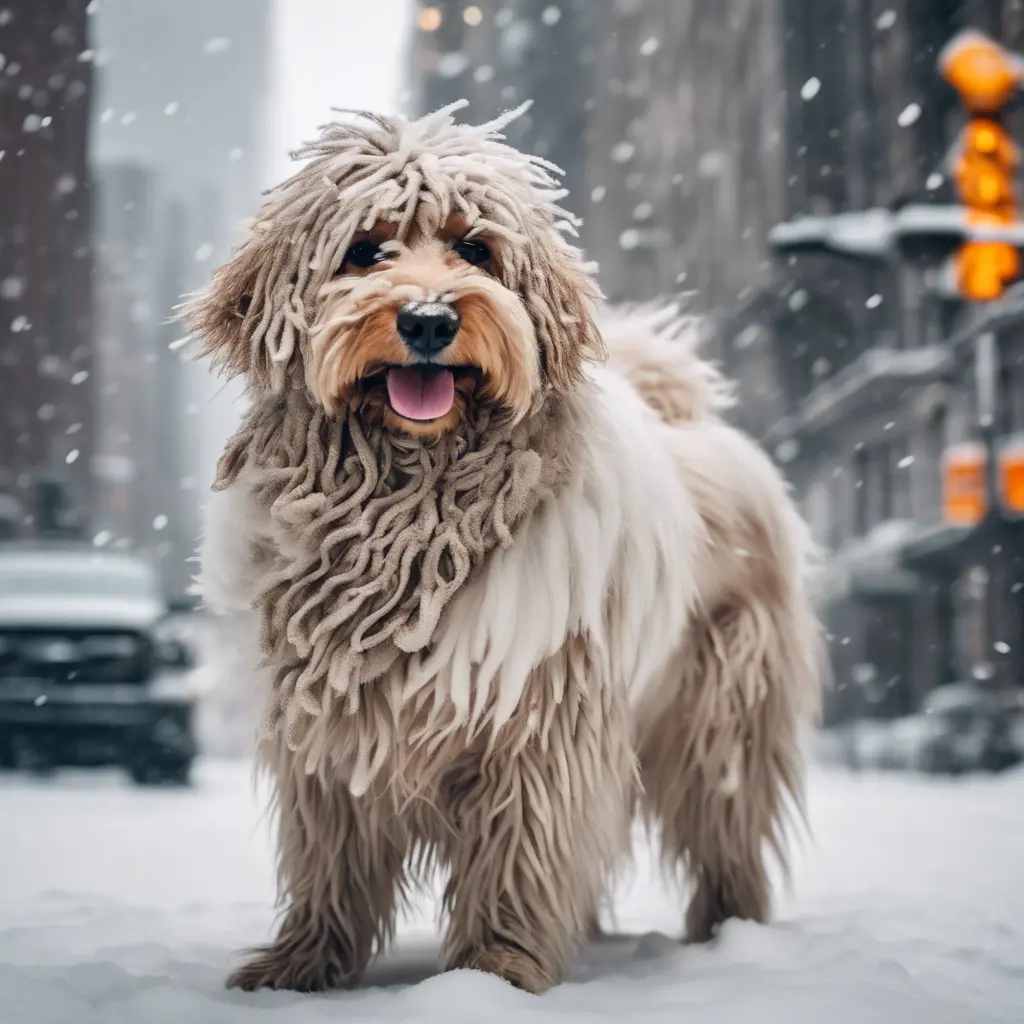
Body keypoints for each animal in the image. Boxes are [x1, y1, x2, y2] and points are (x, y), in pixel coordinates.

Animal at [188, 101, 819, 991]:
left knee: (723, 829)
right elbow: (331, 856)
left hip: (723, 709)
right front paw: (305, 960)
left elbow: (521, 848)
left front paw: (495, 969)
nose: (428, 319)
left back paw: (726, 931)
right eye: (364, 251)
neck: (413, 505)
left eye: (475, 248)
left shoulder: (539, 715)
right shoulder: (332, 715)